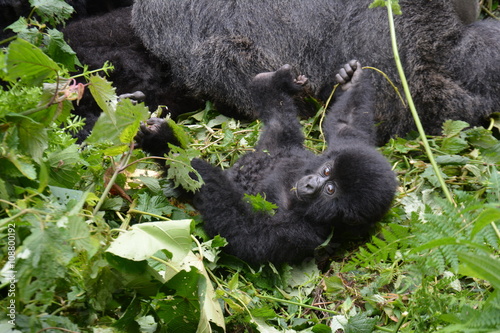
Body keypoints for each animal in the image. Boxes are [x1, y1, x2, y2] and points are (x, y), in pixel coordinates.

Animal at [139, 61, 396, 264]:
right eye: (326, 171)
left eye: (330, 190)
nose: (310, 183)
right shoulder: (346, 147)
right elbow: (347, 125)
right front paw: (352, 81)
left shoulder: (303, 232)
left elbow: (245, 233)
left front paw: (165, 142)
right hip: (275, 148)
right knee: (280, 123)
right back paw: (273, 81)